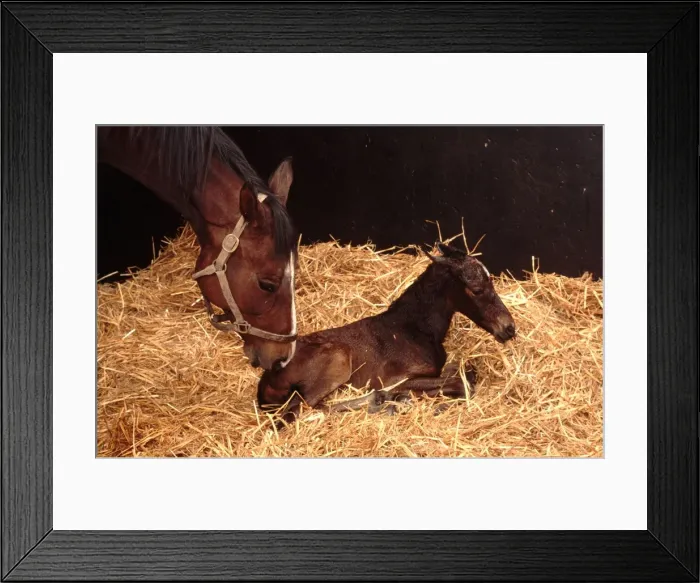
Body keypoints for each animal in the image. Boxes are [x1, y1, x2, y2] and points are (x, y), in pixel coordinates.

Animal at [257, 242, 516, 426]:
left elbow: (464, 373)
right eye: (477, 290)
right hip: (337, 361)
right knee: (299, 411)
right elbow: (462, 384)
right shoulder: (400, 378)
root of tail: (266, 378)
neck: (414, 329)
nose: (509, 328)